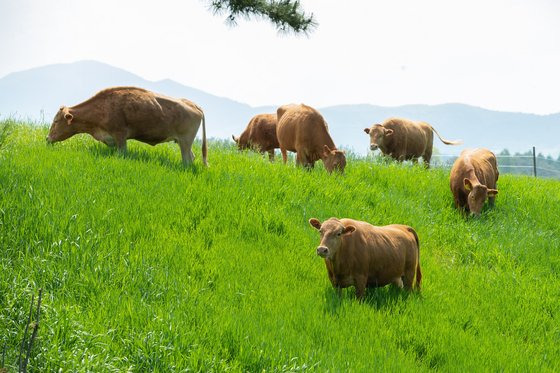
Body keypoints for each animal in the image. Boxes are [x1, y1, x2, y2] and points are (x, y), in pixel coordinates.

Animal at [46, 86, 208, 165]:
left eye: (56, 121)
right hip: (183, 142)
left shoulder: (120, 136)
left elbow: (122, 153)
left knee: (187, 159)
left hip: (185, 141)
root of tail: (194, 105)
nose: (47, 138)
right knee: (192, 157)